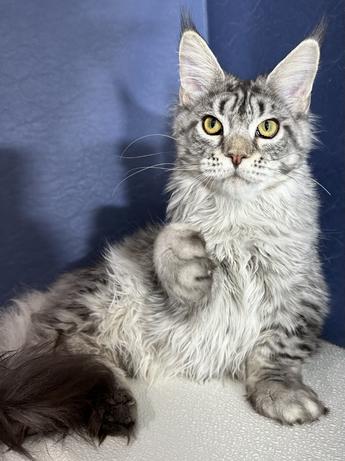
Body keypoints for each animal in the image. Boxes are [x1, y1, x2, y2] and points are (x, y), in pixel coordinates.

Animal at [0, 18, 328, 456]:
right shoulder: (174, 310)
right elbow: (168, 244)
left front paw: (282, 393)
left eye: (268, 128)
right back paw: (109, 402)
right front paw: (189, 267)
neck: (239, 226)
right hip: (98, 297)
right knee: (58, 353)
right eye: (212, 125)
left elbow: (277, 350)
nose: (237, 156)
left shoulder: (304, 296)